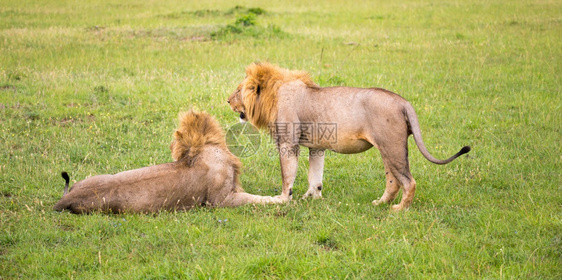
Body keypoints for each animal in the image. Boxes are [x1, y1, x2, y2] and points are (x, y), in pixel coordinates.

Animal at [226, 61, 468, 210]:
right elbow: (315, 176)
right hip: (387, 149)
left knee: (409, 181)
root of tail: (403, 101)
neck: (273, 96)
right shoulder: (317, 146)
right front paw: (312, 197)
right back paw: (380, 203)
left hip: (392, 146)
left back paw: (399, 209)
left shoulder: (288, 143)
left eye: (238, 90)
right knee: (393, 182)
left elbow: (287, 176)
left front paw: (283, 199)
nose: (227, 100)